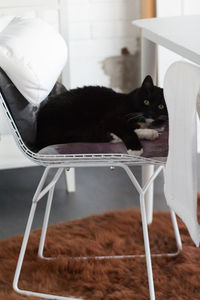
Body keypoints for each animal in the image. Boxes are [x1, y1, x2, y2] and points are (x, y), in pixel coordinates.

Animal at [36, 76, 167, 154]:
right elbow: (126, 130)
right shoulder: (110, 118)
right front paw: (135, 149)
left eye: (161, 106)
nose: (151, 113)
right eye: (146, 102)